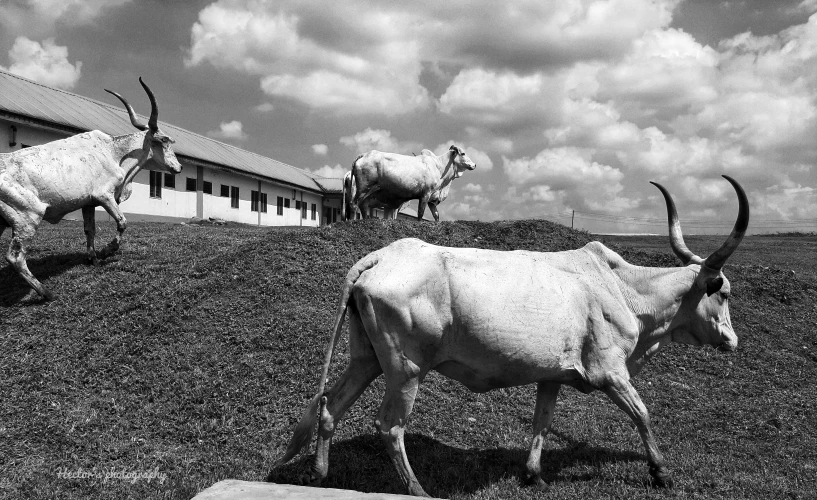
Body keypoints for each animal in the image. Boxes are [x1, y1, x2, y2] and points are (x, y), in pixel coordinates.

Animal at [0, 76, 182, 298]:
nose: (179, 167)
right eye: (164, 140)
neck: (113, 152)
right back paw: (46, 292)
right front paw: (106, 251)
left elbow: (90, 230)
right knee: (15, 257)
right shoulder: (105, 196)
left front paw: (92, 258)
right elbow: (122, 222)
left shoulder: (88, 203)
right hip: (27, 217)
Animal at [278, 176, 748, 496]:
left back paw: (319, 475)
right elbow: (643, 414)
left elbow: (542, 422)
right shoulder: (610, 372)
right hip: (405, 368)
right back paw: (417, 488)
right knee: (390, 426)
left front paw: (533, 473)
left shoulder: (552, 375)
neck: (624, 289)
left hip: (367, 359)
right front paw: (660, 470)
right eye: (723, 292)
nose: (733, 341)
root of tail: (380, 256)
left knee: (330, 408)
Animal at [346, 146, 478, 222]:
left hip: (367, 194)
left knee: (362, 208)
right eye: (463, 153)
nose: (474, 165)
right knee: (354, 205)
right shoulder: (425, 194)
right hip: (363, 189)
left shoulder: (432, 200)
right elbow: (420, 214)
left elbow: (436, 216)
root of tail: (365, 154)